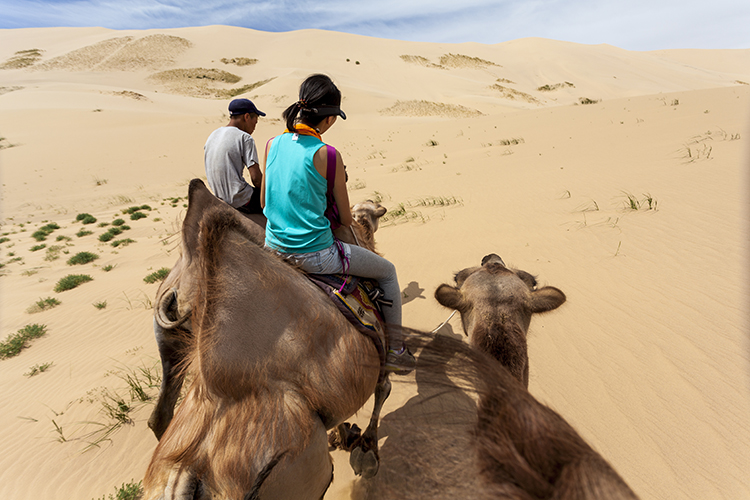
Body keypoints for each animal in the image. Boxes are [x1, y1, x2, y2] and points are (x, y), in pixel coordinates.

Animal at [144, 181, 396, 500]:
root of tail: (187, 478)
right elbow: (383, 387)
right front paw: (366, 451)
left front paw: (345, 438)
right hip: (296, 478)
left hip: (170, 344)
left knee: (160, 414)